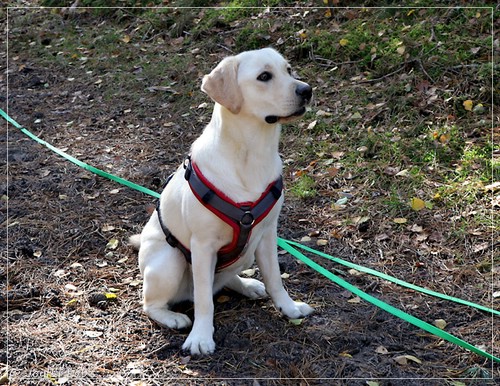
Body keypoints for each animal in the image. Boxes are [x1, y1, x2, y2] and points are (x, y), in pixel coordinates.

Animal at [131, 48, 314, 356]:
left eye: (289, 70)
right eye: (264, 76)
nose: (307, 90)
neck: (252, 152)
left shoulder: (267, 234)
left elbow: (276, 279)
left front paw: (288, 309)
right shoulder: (203, 246)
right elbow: (205, 300)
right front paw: (201, 337)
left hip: (247, 251)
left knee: (222, 282)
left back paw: (248, 285)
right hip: (170, 261)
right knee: (155, 303)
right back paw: (173, 317)